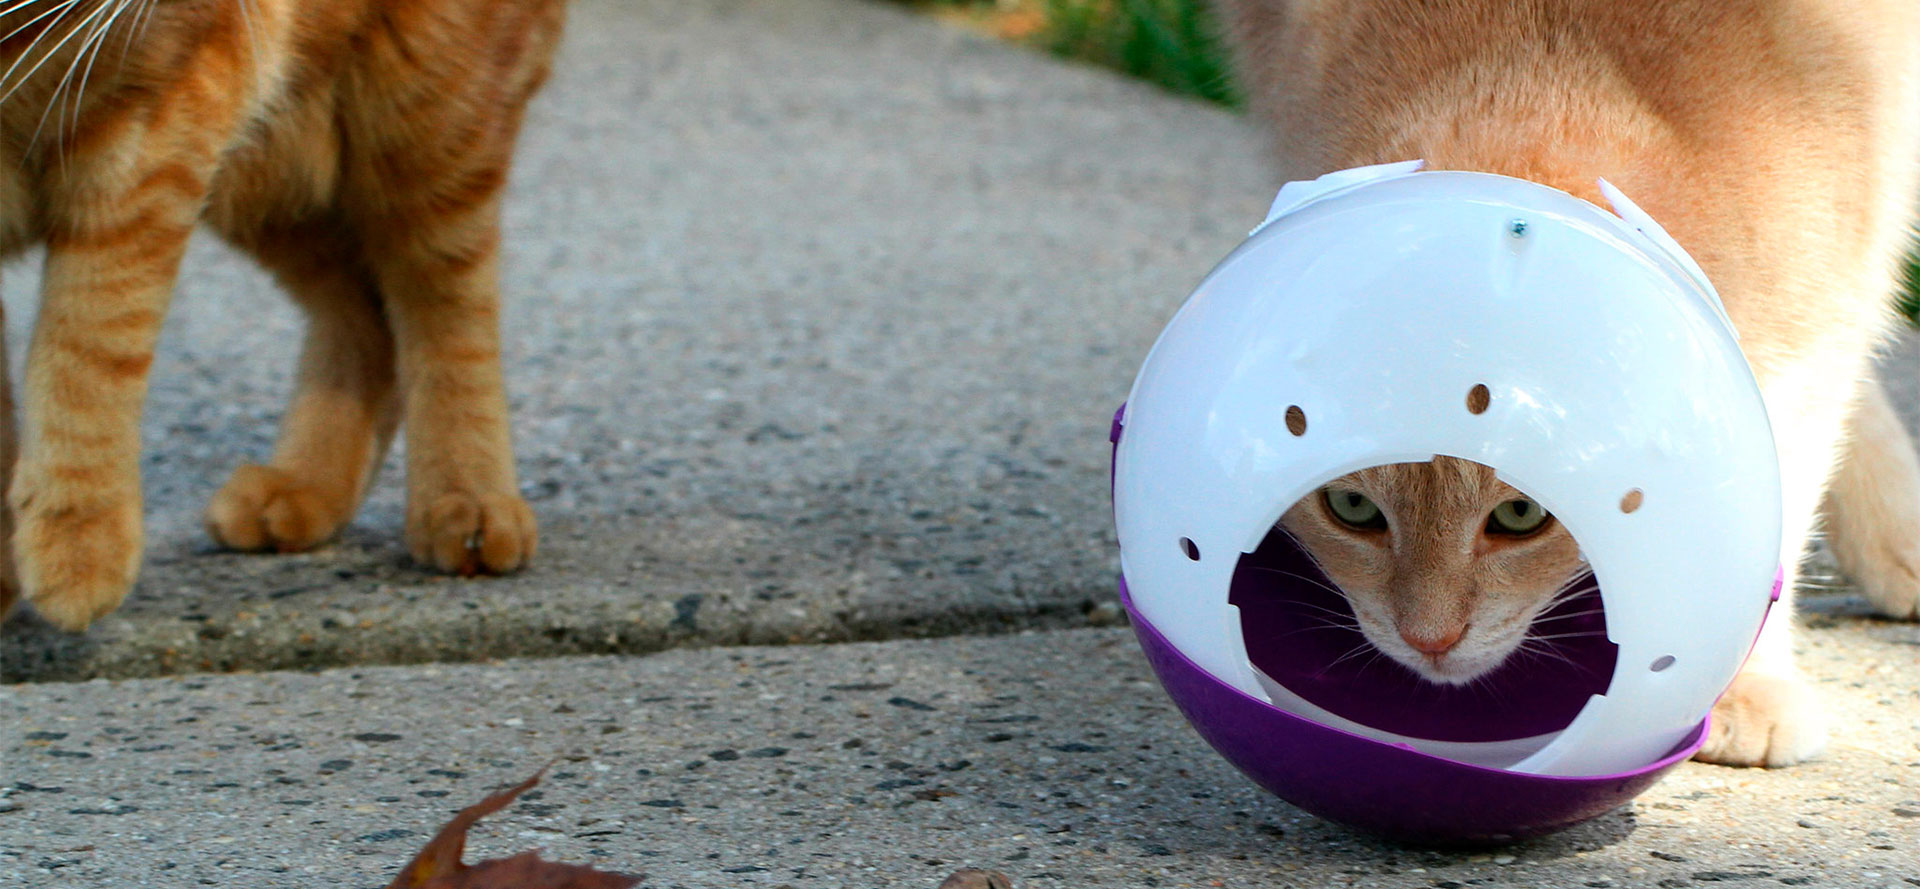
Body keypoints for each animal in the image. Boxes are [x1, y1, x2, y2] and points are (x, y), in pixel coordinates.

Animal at [1, 0, 560, 633]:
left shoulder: (152, 133)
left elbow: (90, 341)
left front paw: (79, 540)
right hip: (268, 168)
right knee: (366, 313)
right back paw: (307, 487)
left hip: (424, 122)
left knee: (443, 308)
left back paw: (469, 499)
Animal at [1213, 0, 1920, 764]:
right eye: (1351, 508)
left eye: (1521, 516)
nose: (1430, 640)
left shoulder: (1807, 337)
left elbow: (1770, 514)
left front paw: (1742, 685)